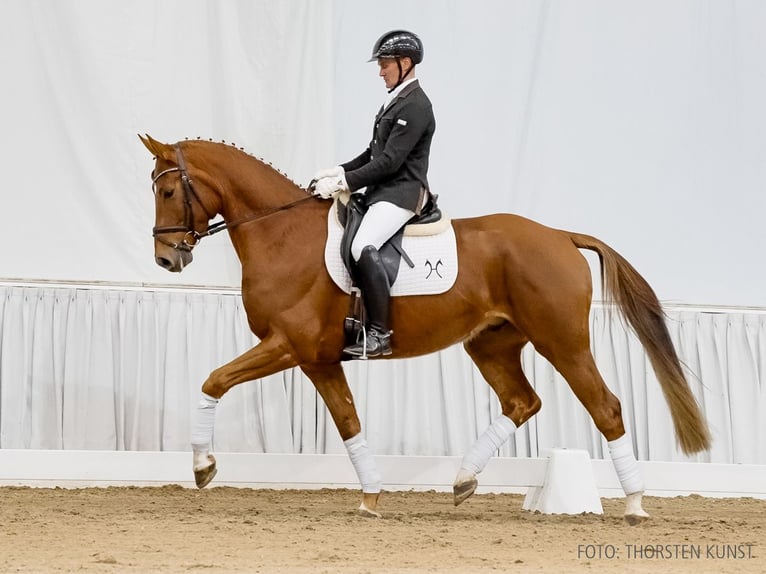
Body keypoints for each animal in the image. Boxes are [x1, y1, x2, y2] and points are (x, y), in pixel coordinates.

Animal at [140, 135, 712, 528]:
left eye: (167, 190)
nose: (167, 257)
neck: (281, 234)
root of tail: (559, 236)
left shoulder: (288, 346)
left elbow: (214, 380)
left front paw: (203, 466)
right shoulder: (318, 360)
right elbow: (349, 423)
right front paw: (371, 495)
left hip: (563, 343)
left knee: (605, 407)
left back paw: (634, 504)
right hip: (491, 344)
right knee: (522, 402)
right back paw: (463, 479)